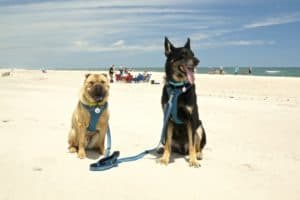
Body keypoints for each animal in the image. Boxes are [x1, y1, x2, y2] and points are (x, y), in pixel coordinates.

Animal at [157, 37, 206, 167]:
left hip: (200, 127)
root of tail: (182, 149)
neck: (177, 88)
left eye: (193, 54)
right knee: (168, 144)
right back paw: (161, 150)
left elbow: (192, 143)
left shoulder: (191, 119)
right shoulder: (167, 118)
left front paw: (193, 160)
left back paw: (198, 155)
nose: (197, 61)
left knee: (197, 146)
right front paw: (165, 158)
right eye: (183, 55)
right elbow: (168, 143)